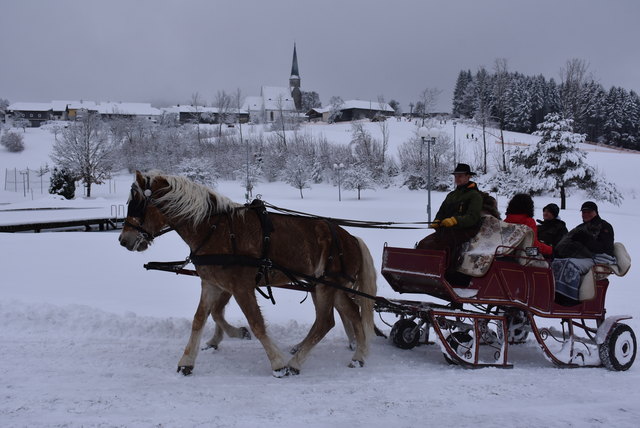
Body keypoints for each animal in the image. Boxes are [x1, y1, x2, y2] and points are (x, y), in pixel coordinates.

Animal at [118, 169, 378, 376]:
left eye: (137, 205)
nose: (123, 240)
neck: (214, 229)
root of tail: (351, 238)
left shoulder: (241, 287)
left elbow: (255, 323)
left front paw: (277, 364)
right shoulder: (211, 283)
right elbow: (200, 319)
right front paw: (187, 361)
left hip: (325, 286)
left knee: (326, 321)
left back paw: (295, 362)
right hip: (330, 286)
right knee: (352, 315)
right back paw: (359, 355)